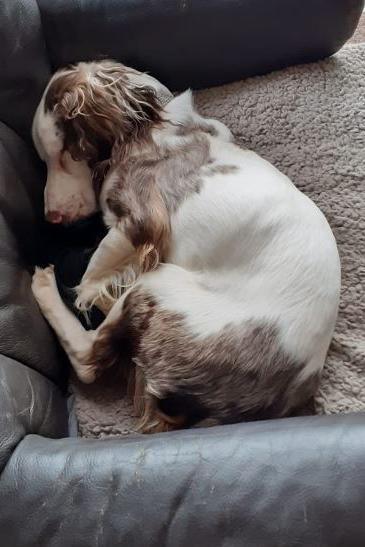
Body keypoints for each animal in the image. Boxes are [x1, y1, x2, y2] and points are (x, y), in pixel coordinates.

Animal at [29, 60, 340, 434]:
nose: (52, 217)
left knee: (89, 358)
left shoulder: (143, 221)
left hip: (159, 285)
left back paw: (45, 286)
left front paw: (89, 291)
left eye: (62, 154)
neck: (151, 121)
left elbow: (91, 278)